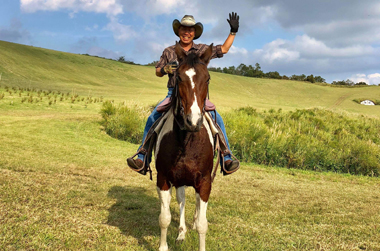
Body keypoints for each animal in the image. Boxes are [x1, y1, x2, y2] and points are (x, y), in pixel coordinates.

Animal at [154, 42, 214, 250]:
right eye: (179, 77)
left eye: (207, 78)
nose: (193, 121)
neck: (187, 140)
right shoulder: (164, 179)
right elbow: (164, 218)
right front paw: (164, 246)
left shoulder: (204, 181)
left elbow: (203, 224)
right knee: (182, 201)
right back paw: (181, 233)